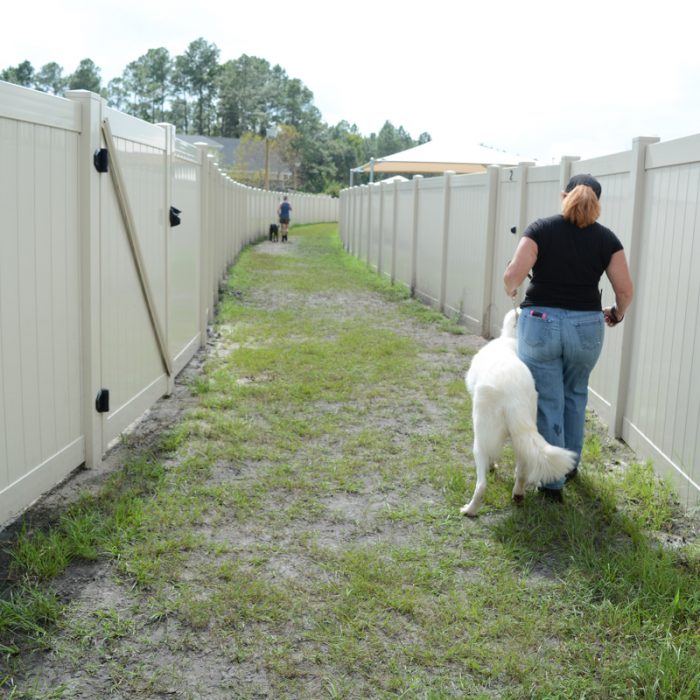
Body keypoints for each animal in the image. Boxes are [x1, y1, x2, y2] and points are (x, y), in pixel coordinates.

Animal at [460, 308, 576, 516]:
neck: (509, 338)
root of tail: (513, 397)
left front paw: (492, 466)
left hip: (480, 438)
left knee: (481, 483)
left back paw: (470, 509)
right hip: (521, 437)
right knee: (521, 471)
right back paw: (519, 495)